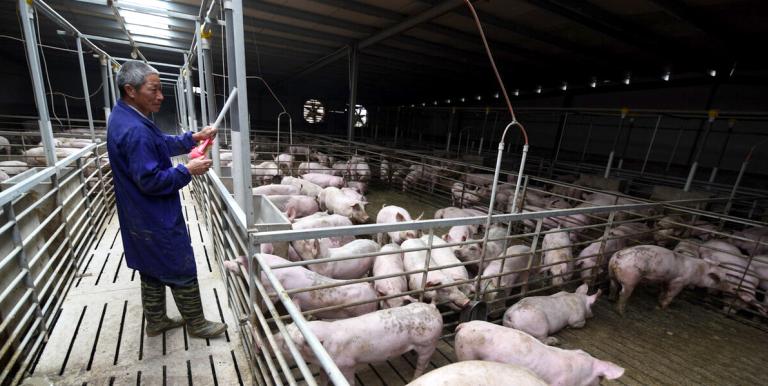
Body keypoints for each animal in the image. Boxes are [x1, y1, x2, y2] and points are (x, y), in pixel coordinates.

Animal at [272, 304, 440, 384]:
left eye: (290, 342)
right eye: (287, 326)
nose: (272, 337)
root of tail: (433, 309)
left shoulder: (347, 364)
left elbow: (349, 380)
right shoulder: (325, 366)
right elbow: (322, 378)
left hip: (428, 344)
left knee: (423, 364)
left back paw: (414, 378)